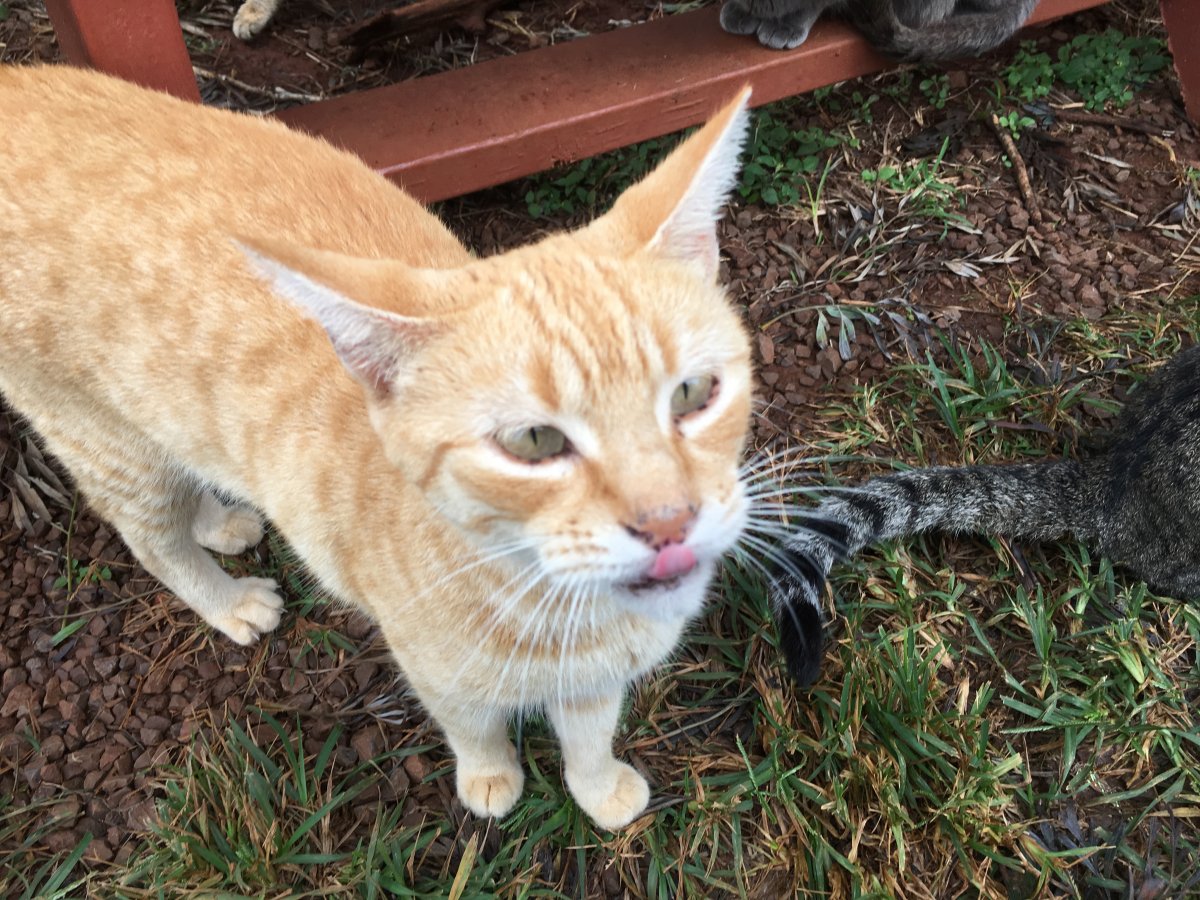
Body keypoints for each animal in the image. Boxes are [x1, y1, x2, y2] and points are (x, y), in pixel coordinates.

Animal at [2, 65, 758, 830]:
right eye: (533, 440)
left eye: (693, 393)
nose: (670, 520)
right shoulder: (435, 675)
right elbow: (473, 729)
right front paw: (491, 779)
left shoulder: (596, 679)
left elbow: (591, 731)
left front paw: (599, 787)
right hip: (104, 438)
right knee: (149, 537)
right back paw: (225, 599)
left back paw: (220, 519)